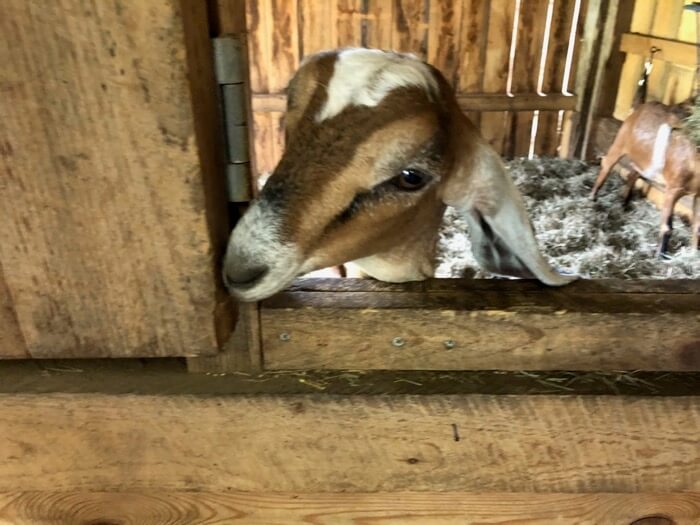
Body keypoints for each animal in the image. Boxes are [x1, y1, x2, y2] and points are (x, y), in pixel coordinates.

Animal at [592, 101, 700, 256]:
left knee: (632, 175)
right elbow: (667, 227)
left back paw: (624, 203)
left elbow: (697, 228)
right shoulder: (673, 189)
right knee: (607, 164)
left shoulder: (698, 195)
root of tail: (641, 107)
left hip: (642, 161)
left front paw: (692, 254)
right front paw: (660, 255)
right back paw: (593, 197)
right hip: (620, 142)